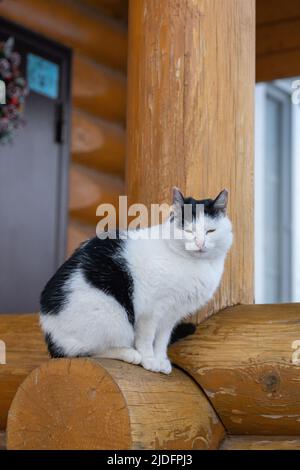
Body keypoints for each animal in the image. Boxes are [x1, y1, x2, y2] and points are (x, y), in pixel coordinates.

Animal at [39, 187, 232, 374]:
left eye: (210, 231)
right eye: (188, 231)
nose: (199, 244)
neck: (197, 264)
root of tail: (50, 333)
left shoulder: (171, 315)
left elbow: (162, 340)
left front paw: (161, 360)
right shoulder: (150, 311)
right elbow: (147, 339)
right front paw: (150, 361)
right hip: (112, 315)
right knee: (87, 351)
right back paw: (130, 354)